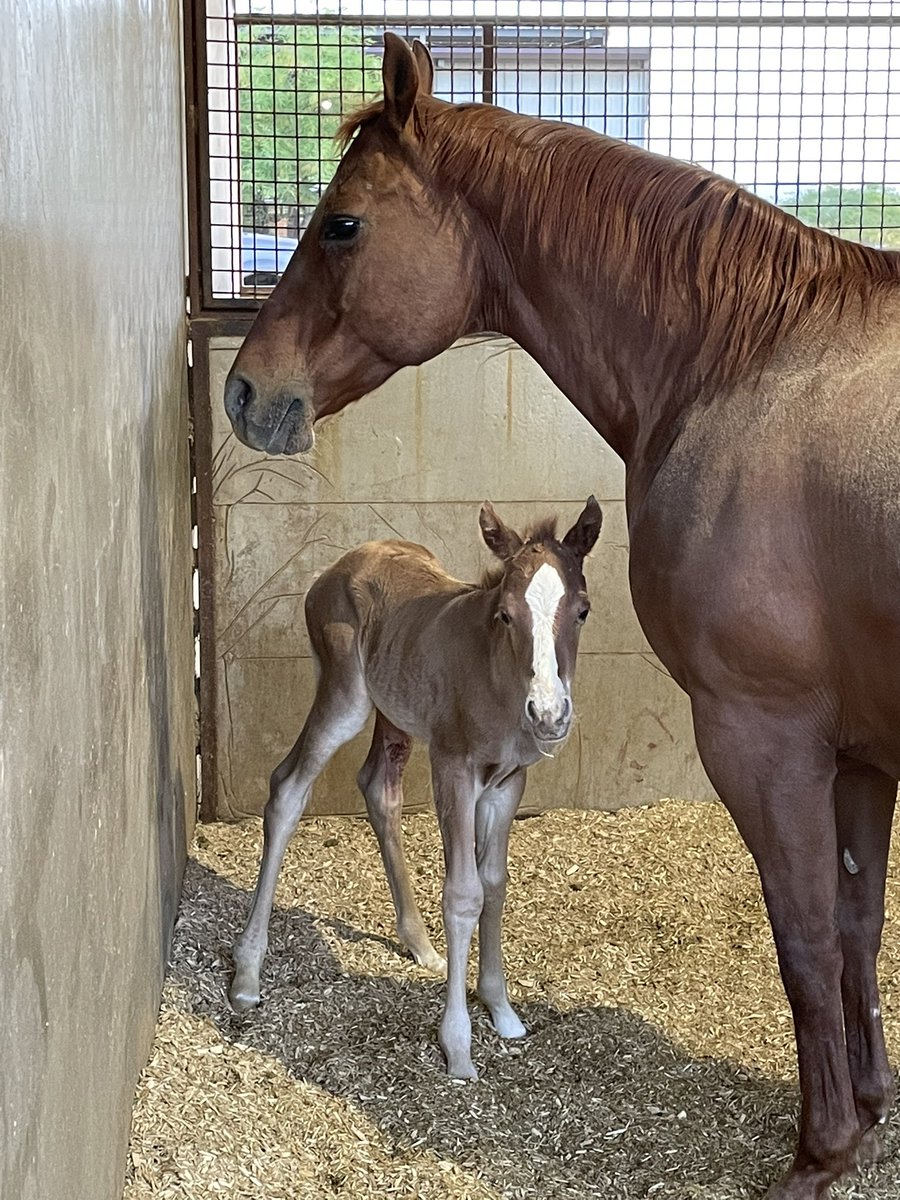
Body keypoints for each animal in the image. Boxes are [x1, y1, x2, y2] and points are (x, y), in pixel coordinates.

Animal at [229, 498, 602, 1081]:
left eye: (582, 610)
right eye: (505, 614)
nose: (549, 715)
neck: (493, 676)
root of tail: (338, 566)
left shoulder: (508, 781)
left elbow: (495, 882)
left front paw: (501, 1008)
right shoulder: (453, 766)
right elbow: (465, 893)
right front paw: (459, 1047)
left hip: (394, 711)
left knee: (378, 786)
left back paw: (420, 944)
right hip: (345, 695)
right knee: (287, 788)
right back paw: (246, 977)